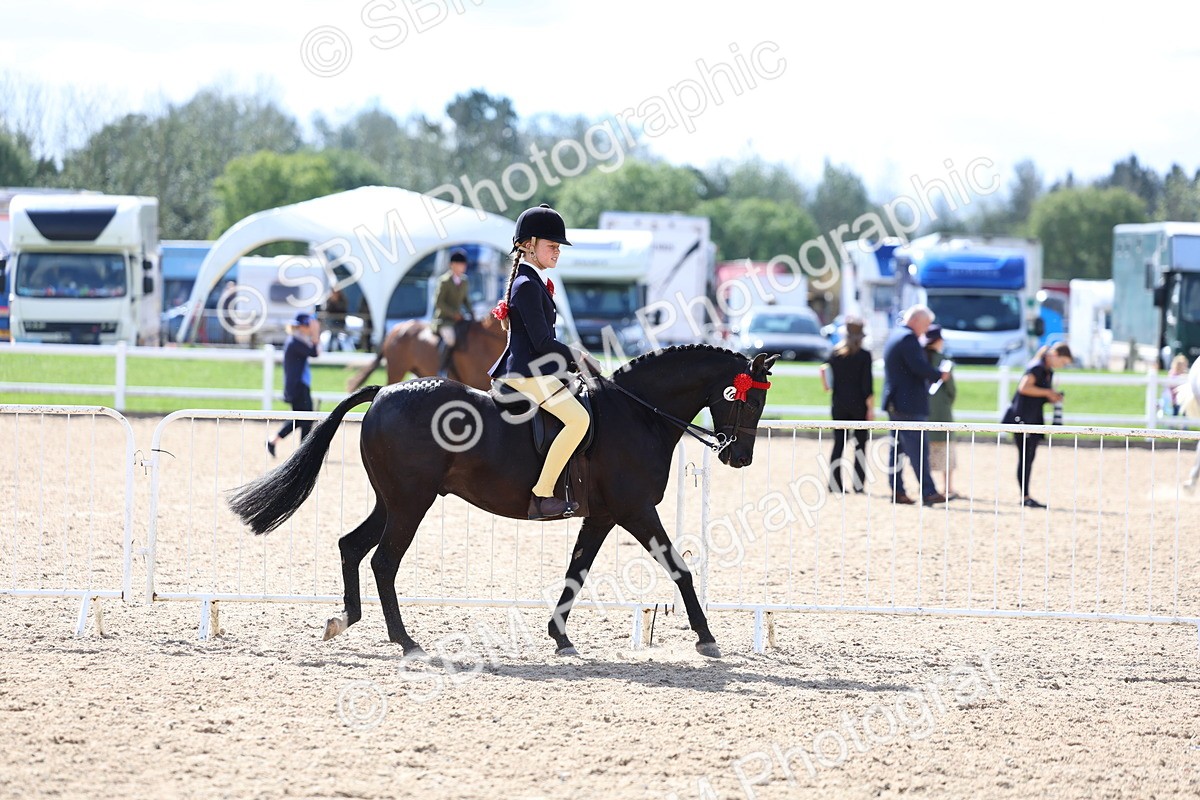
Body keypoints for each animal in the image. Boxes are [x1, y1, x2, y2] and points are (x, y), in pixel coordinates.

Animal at [229, 345, 779, 658]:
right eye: (749, 398)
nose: (741, 457)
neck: (636, 413)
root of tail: (384, 392)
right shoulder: (635, 511)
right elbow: (679, 569)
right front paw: (706, 637)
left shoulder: (603, 516)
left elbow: (576, 572)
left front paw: (560, 637)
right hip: (411, 504)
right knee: (383, 561)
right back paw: (405, 641)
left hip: (392, 501)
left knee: (351, 546)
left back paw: (346, 620)